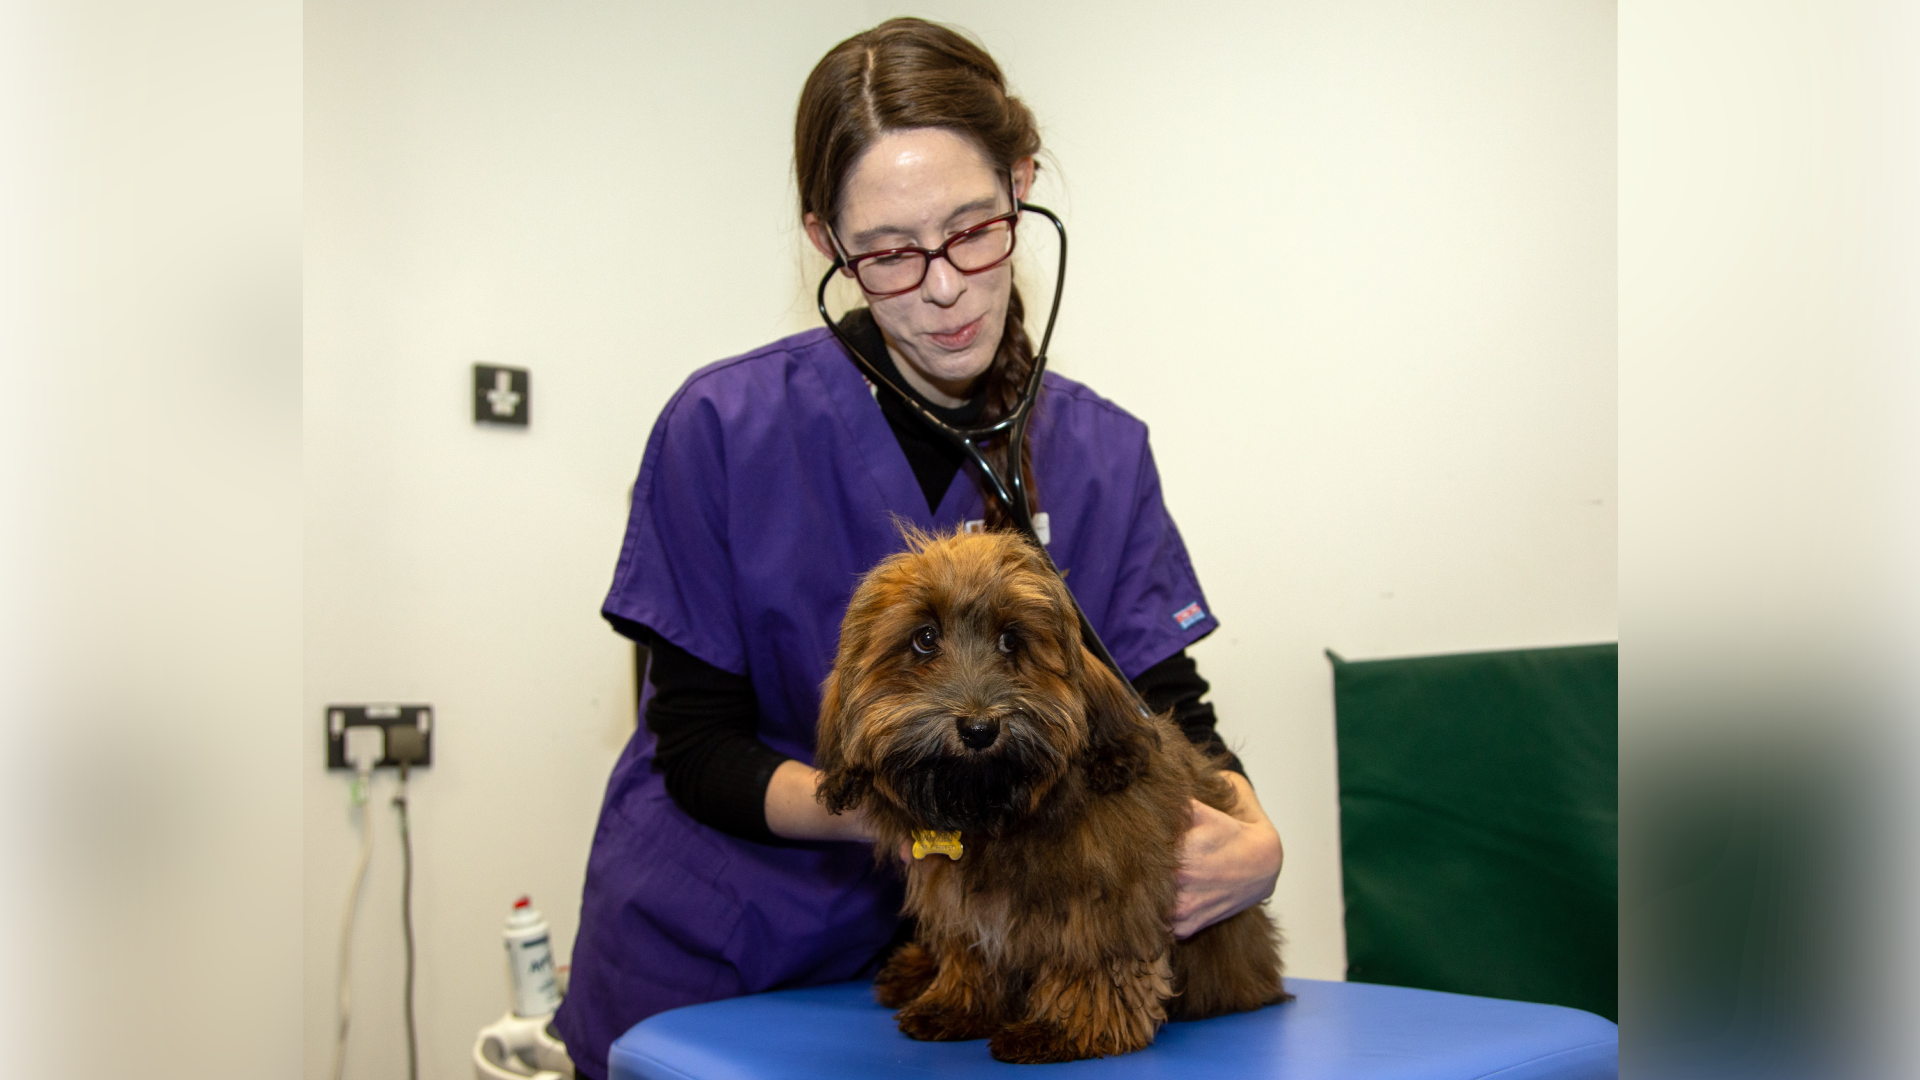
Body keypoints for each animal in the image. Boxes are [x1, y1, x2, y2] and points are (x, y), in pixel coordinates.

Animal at [814, 526, 1290, 1053]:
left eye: (1010, 639)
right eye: (925, 639)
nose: (979, 728)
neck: (997, 810)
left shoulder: (1105, 892)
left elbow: (1089, 955)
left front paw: (1068, 1026)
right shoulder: (958, 900)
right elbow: (969, 949)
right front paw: (958, 1002)